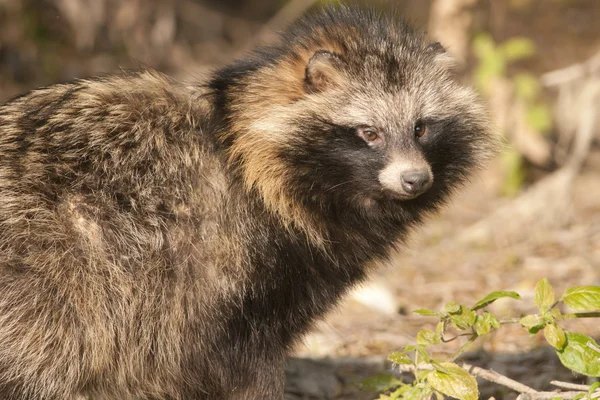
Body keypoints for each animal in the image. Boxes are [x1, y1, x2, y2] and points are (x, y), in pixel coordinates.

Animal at [0, 3, 494, 400]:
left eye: (421, 128)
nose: (416, 179)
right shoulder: (226, 271)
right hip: (55, 269)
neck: (241, 148)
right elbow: (242, 365)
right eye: (368, 132)